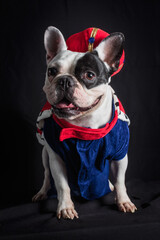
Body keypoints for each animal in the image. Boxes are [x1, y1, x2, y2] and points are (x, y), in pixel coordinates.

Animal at [32, 26, 138, 219]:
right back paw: (42, 193)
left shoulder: (120, 155)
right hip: (45, 154)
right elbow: (62, 185)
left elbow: (120, 181)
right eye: (52, 72)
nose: (64, 80)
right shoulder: (56, 157)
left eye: (89, 75)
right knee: (46, 176)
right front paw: (65, 207)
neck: (83, 124)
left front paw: (124, 201)